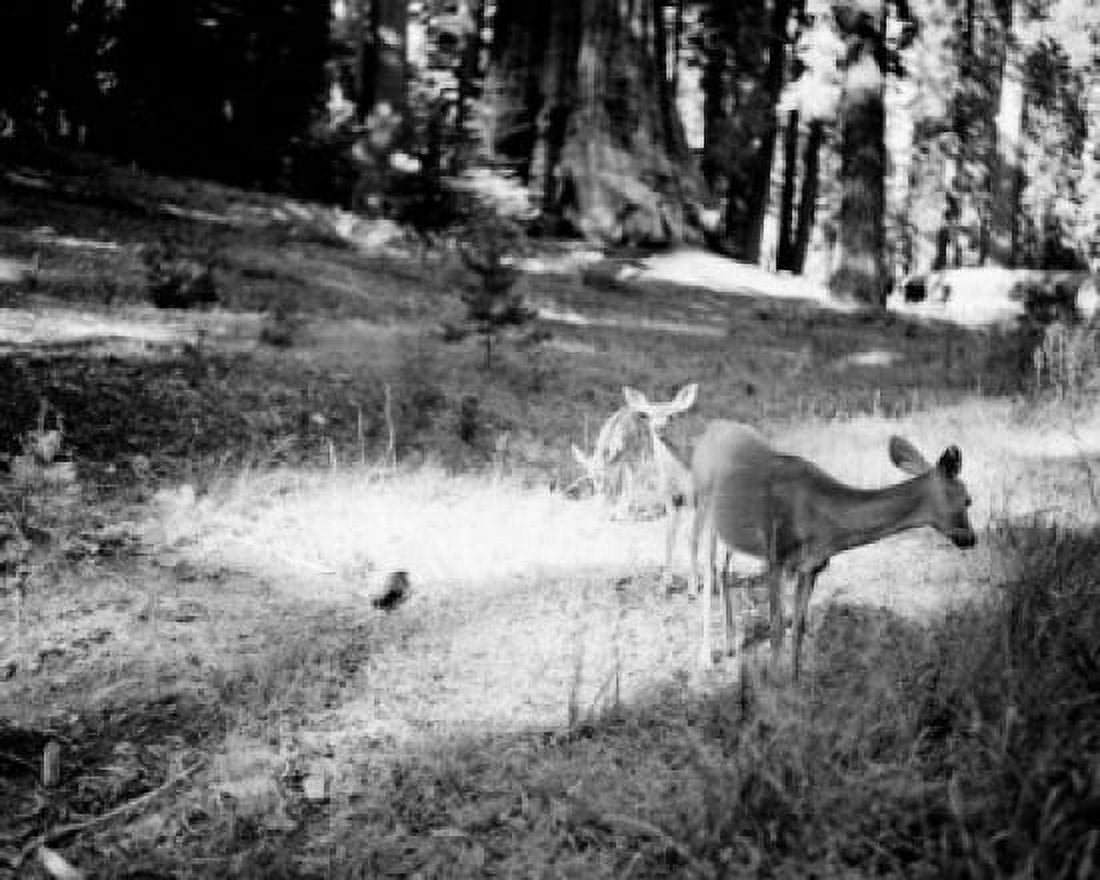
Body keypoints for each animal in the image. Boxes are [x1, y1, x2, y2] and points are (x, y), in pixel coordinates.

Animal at [690, 421, 976, 680]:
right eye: (968, 500)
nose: (970, 538)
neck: (823, 518)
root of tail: (711, 429)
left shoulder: (812, 566)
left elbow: (798, 627)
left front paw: (794, 683)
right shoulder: (775, 557)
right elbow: (777, 627)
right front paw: (773, 683)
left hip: (731, 531)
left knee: (723, 570)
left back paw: (729, 645)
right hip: (703, 505)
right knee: (706, 568)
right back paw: (706, 657)